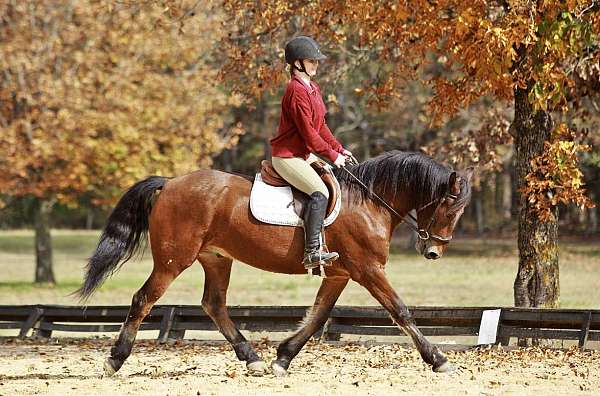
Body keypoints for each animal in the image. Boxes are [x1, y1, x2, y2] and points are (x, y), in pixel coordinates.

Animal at [77, 151, 474, 378]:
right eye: (448, 209)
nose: (433, 252)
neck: (369, 200)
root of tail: (171, 183)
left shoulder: (340, 275)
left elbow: (316, 317)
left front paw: (282, 358)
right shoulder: (368, 271)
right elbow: (401, 311)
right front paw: (438, 359)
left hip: (216, 259)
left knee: (214, 305)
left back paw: (251, 358)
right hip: (174, 260)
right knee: (144, 299)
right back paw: (115, 361)